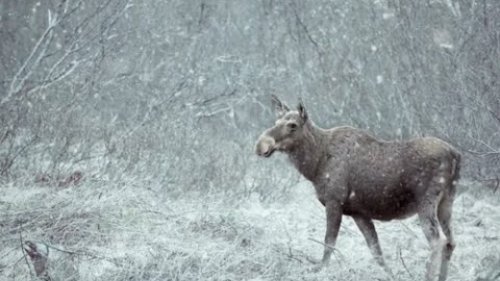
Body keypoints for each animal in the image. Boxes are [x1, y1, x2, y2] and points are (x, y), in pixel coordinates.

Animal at [256, 95, 462, 278]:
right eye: (276, 121)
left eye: (292, 125)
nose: (261, 145)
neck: (314, 165)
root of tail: (455, 155)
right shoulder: (358, 212)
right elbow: (376, 251)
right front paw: (390, 274)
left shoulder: (334, 201)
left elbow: (329, 243)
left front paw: (319, 270)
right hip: (447, 201)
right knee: (451, 241)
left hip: (426, 200)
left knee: (437, 241)